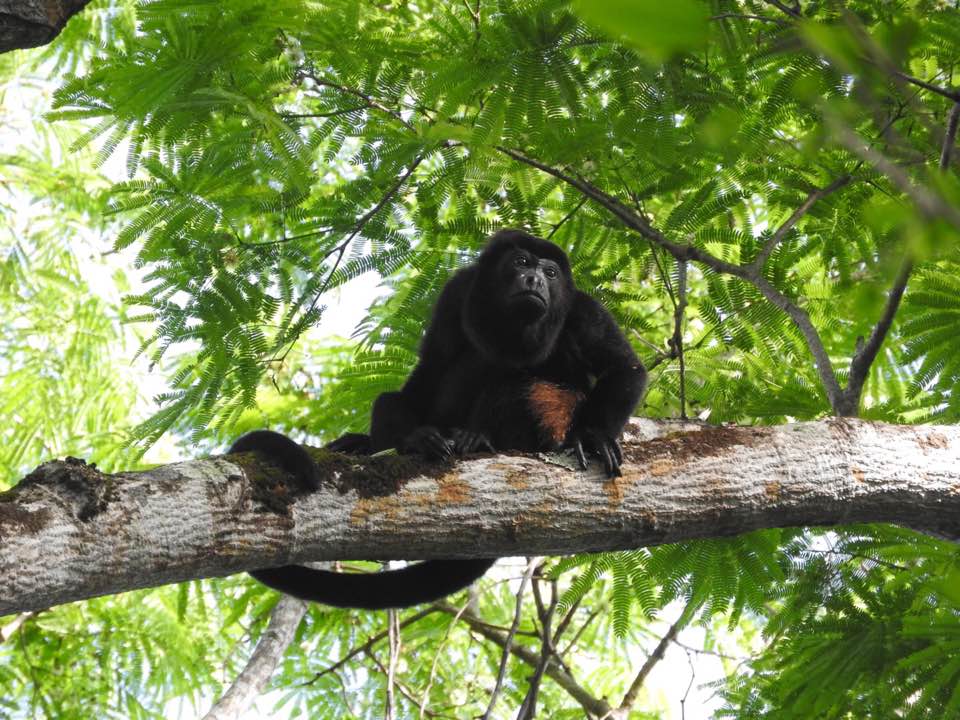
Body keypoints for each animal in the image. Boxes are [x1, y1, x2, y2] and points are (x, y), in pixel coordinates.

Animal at [229, 229, 644, 608]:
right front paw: (407, 437)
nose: (535, 280)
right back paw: (409, 441)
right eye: (521, 262)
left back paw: (479, 438)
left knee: (513, 385)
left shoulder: (582, 309)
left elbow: (625, 366)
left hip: (553, 409)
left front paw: (594, 436)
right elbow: (432, 365)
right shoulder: (456, 293)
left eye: (551, 272)